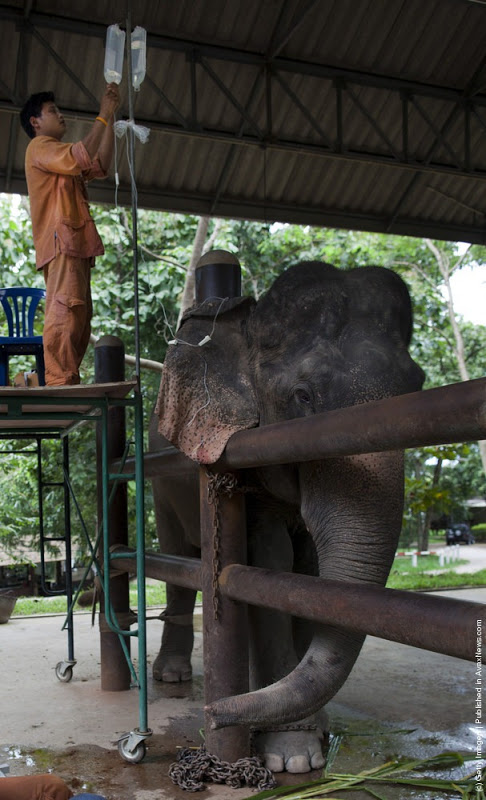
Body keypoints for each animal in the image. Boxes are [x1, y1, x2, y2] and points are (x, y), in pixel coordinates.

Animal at [149, 258, 426, 776]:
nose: (211, 717)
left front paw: (309, 735)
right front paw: (292, 757)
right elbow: (270, 562)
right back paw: (173, 677)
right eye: (303, 395)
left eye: (417, 384)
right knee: (176, 563)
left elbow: (308, 575)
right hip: (163, 486)